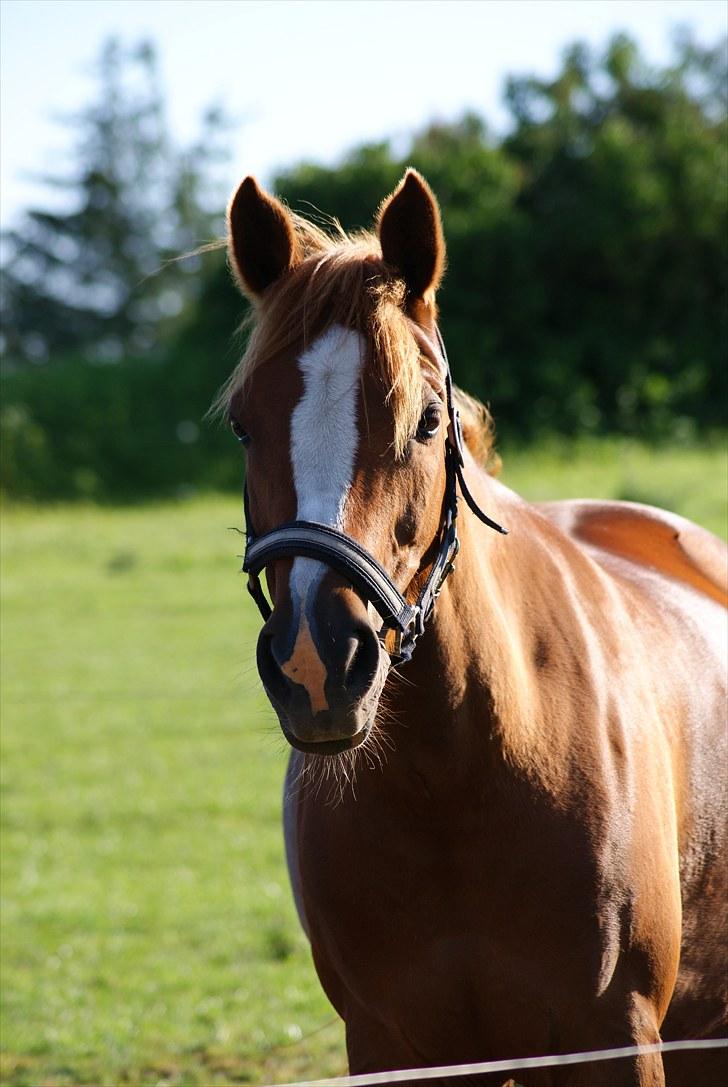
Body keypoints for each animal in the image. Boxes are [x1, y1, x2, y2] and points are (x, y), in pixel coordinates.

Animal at [222, 169, 728, 1087]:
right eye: (245, 422)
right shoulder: (391, 1044)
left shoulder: (619, 1035)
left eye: (428, 418)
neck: (455, 773)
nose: (317, 662)